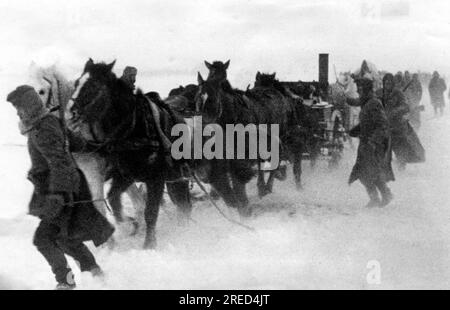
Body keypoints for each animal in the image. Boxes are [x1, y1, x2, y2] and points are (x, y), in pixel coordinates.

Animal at [67, 58, 192, 249]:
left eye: (94, 86)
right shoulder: (123, 175)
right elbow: (113, 201)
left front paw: (149, 244)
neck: (132, 131)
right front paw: (130, 224)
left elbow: (150, 211)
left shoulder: (155, 178)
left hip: (177, 174)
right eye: (76, 83)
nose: (70, 114)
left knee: (182, 199)